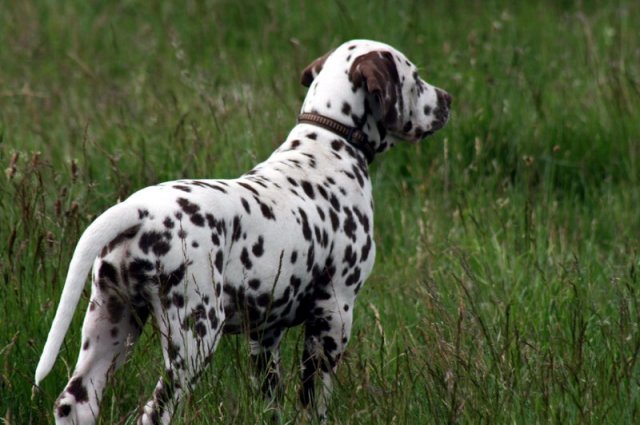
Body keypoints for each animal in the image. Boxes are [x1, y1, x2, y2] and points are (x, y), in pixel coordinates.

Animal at [35, 39, 451, 424]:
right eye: (415, 78)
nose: (447, 98)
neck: (330, 146)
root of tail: (139, 210)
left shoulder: (265, 336)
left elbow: (271, 400)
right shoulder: (333, 315)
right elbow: (314, 399)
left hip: (111, 325)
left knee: (74, 402)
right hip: (194, 339)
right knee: (155, 411)